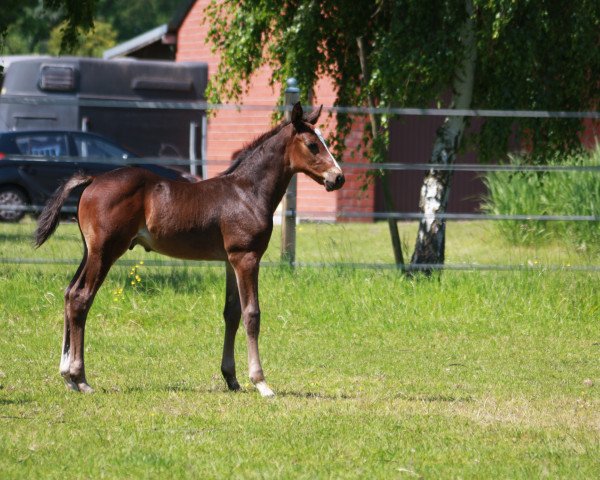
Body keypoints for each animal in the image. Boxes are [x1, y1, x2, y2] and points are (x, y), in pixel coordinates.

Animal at [35, 103, 344, 396]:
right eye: (313, 144)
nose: (338, 178)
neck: (247, 192)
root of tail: (93, 180)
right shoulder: (246, 257)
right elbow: (251, 314)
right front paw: (261, 382)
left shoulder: (230, 261)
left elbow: (231, 313)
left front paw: (231, 378)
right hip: (105, 251)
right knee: (81, 298)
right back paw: (80, 378)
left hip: (90, 251)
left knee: (69, 293)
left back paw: (67, 377)